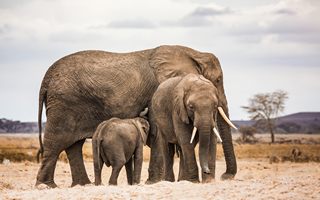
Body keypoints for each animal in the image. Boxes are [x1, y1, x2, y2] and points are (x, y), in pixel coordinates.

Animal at [35, 45, 238, 188]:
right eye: (218, 80)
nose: (225, 176)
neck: (194, 53)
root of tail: (46, 79)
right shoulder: (155, 94)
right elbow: (156, 133)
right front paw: (153, 182)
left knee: (73, 146)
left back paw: (82, 185)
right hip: (63, 106)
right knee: (55, 143)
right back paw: (46, 186)